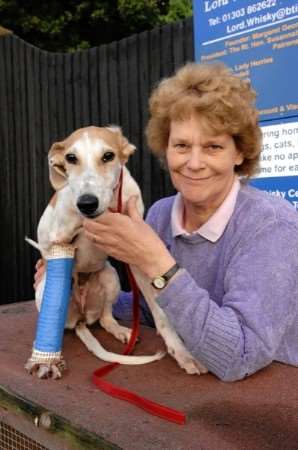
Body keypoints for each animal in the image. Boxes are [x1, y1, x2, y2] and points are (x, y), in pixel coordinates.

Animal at [26, 126, 206, 380]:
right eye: (71, 158)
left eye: (108, 156)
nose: (87, 203)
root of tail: (80, 317)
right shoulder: (58, 240)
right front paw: (45, 360)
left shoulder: (138, 251)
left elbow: (161, 315)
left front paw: (182, 354)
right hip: (44, 289)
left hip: (110, 277)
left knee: (105, 317)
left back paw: (121, 330)